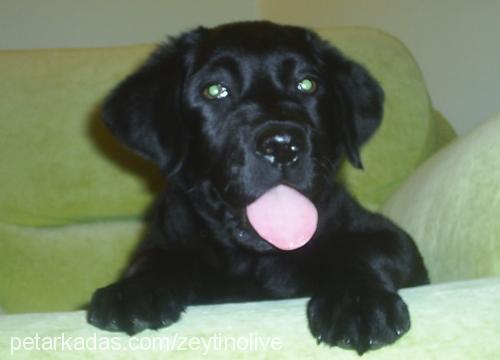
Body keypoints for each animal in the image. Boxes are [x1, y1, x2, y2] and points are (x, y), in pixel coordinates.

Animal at [87, 20, 430, 354]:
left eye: (307, 84)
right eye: (215, 90)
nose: (282, 145)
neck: (256, 260)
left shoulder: (388, 236)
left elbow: (362, 250)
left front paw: (358, 301)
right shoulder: (165, 236)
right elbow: (155, 259)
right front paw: (133, 292)